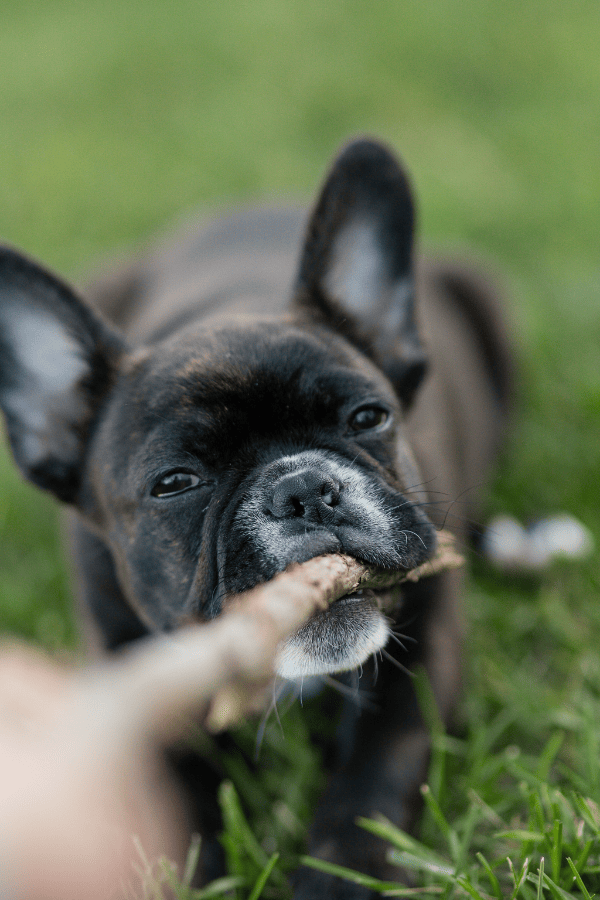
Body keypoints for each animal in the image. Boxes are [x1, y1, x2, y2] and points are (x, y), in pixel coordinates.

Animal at [0, 137, 512, 896]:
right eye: (175, 483)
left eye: (369, 417)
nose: (304, 487)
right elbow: (174, 800)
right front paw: (195, 876)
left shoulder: (423, 653)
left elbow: (373, 778)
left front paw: (338, 879)